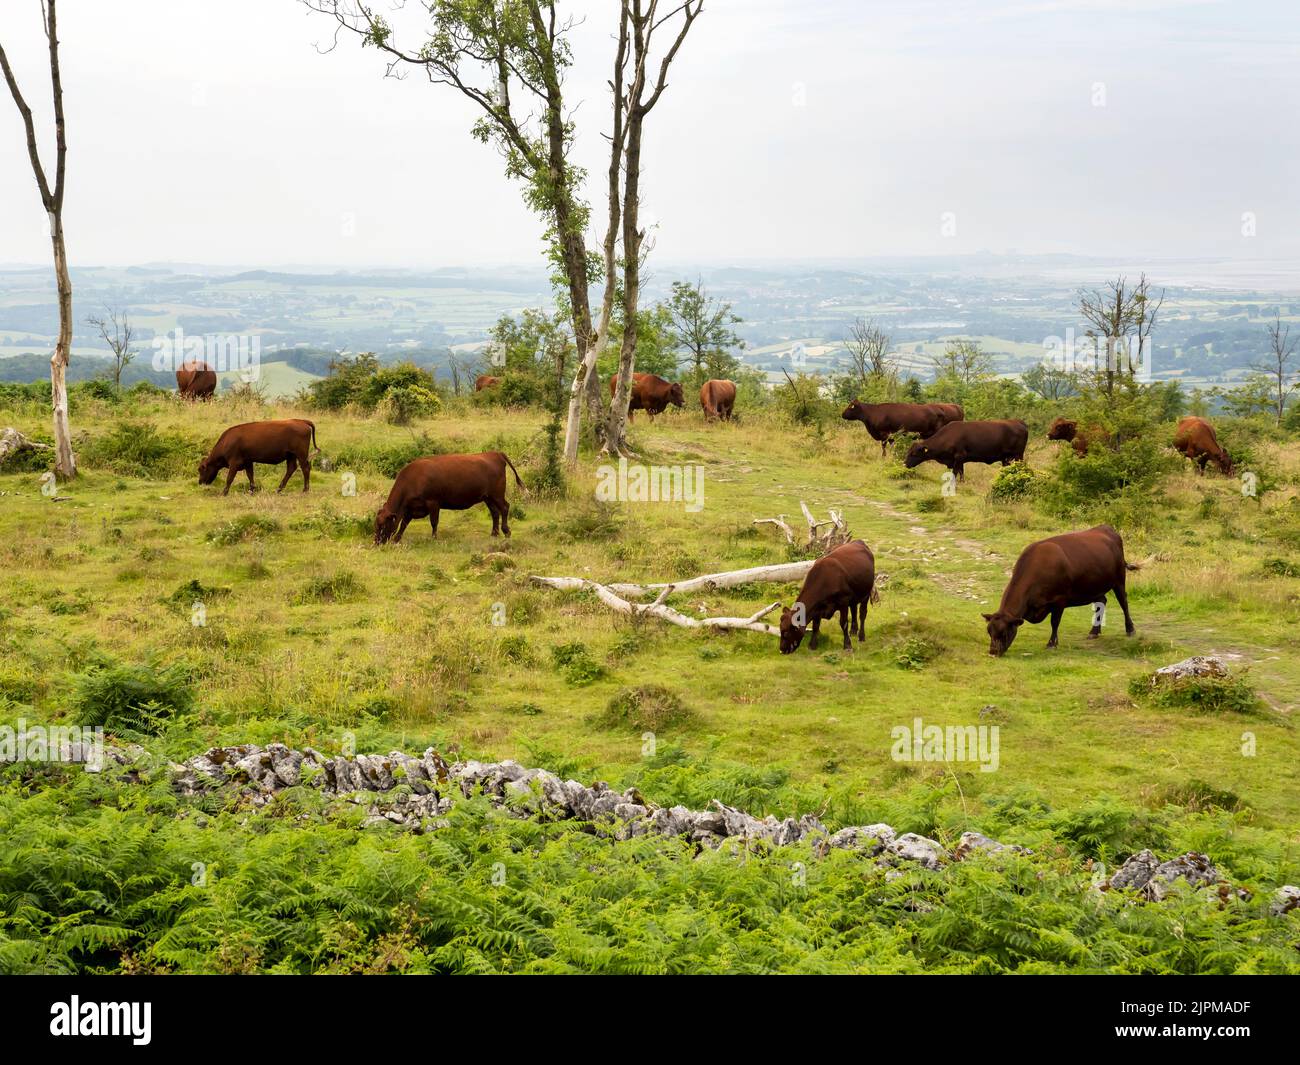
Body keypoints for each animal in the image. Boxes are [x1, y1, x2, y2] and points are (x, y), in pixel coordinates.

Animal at [374, 451, 524, 544]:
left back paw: (506, 531)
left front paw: (434, 538)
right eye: (375, 524)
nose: (376, 542)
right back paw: (494, 533)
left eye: (383, 525)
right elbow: (404, 523)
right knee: (495, 512)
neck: (414, 479)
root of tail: (495, 454)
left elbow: (434, 522)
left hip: (497, 494)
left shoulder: (433, 502)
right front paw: (397, 539)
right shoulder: (411, 508)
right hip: (488, 497)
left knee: (504, 508)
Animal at [983, 525, 1138, 656]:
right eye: (989, 632)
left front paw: (1052, 643)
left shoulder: (1059, 600)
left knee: (1124, 602)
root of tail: (1107, 528)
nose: (993, 652)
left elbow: (1055, 622)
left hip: (1119, 580)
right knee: (1102, 602)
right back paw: (1094, 631)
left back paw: (1130, 629)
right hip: (1094, 586)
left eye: (1004, 632)